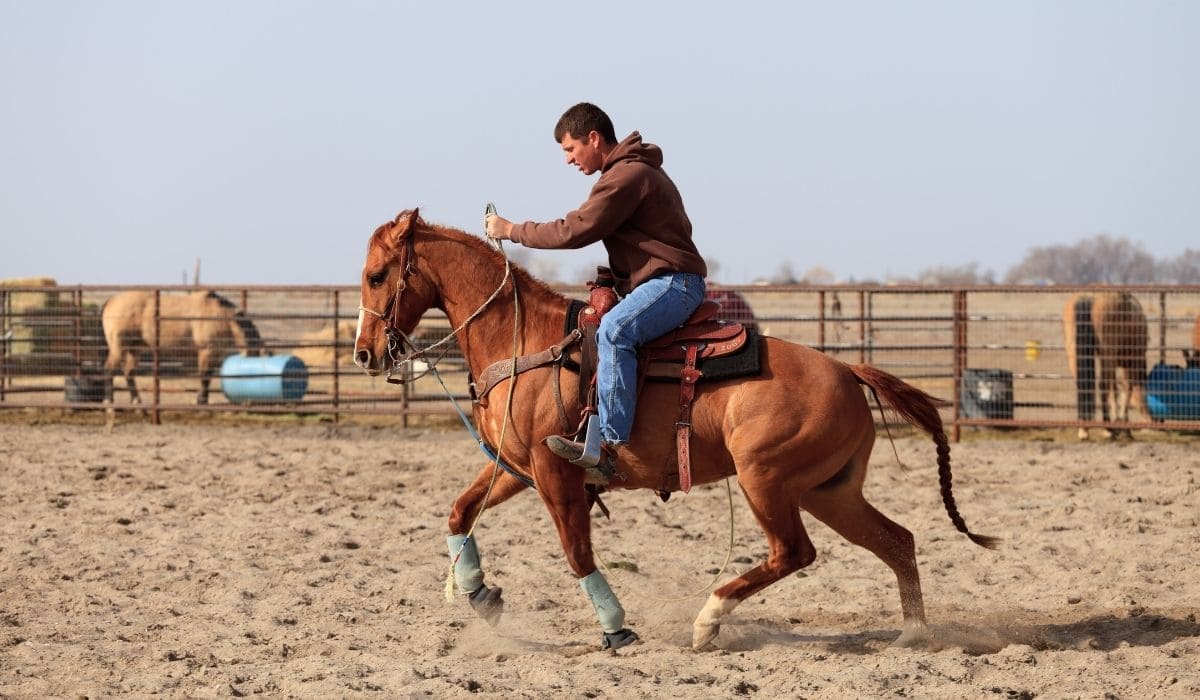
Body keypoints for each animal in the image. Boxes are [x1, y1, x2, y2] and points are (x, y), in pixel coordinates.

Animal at [101, 290, 263, 404]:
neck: (221, 315)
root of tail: (111, 300)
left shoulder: (215, 353)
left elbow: (208, 376)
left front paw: (203, 399)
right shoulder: (206, 351)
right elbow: (204, 376)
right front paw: (201, 400)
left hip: (134, 350)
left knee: (129, 373)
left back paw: (136, 400)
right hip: (118, 348)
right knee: (109, 369)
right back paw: (109, 400)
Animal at [353, 209, 997, 651]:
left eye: (377, 275)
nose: (364, 354)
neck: (525, 341)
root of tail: (846, 369)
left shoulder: (557, 472)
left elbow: (576, 552)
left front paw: (616, 628)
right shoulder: (518, 465)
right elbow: (460, 512)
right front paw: (478, 592)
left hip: (767, 480)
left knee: (794, 551)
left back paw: (708, 619)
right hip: (829, 490)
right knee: (897, 540)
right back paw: (913, 637)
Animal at [1062, 291, 1149, 440]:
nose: (1157, 420)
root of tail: (1088, 298)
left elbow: (1114, 390)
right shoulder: (1130, 363)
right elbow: (1126, 390)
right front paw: (1124, 428)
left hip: (1074, 352)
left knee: (1083, 385)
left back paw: (1084, 429)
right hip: (1107, 353)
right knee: (1103, 385)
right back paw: (1107, 428)